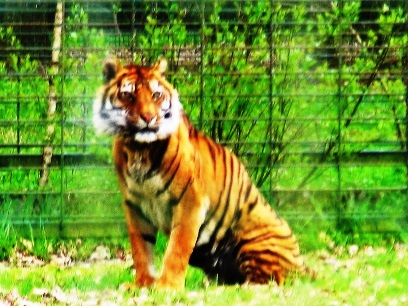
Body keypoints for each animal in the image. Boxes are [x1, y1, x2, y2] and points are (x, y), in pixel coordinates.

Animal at [92, 56, 314, 290]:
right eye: (128, 95)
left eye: (156, 95)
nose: (149, 117)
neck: (139, 149)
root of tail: (304, 265)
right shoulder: (134, 204)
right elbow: (141, 248)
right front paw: (142, 284)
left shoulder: (190, 201)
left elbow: (177, 247)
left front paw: (166, 286)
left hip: (256, 242)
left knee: (271, 279)